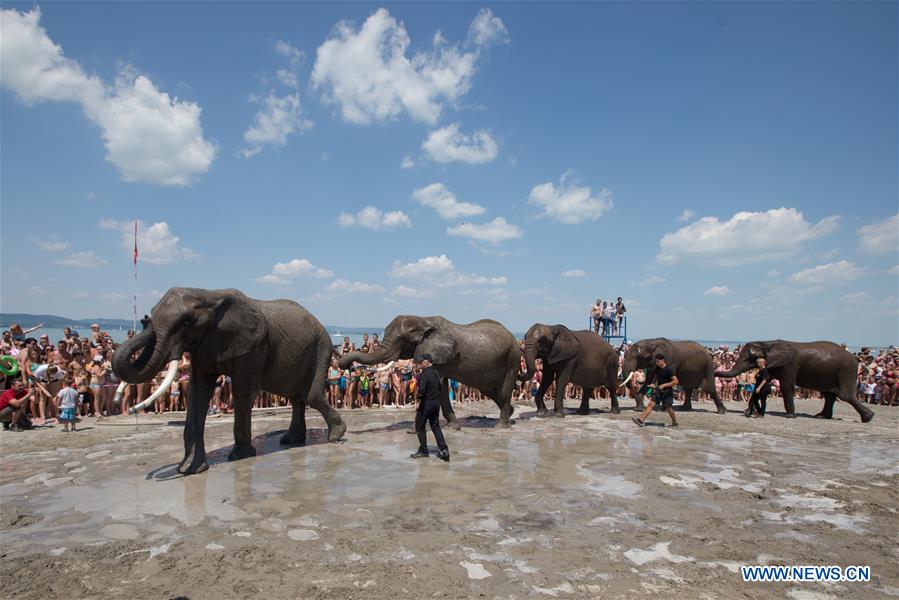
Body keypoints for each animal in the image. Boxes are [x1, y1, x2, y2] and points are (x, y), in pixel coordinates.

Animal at [111, 288, 348, 476]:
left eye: (186, 322)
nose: (144, 319)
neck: (208, 295)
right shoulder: (204, 347)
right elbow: (198, 392)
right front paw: (189, 469)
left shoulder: (254, 347)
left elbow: (243, 391)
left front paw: (239, 456)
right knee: (295, 396)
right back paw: (291, 440)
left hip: (321, 347)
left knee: (310, 395)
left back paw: (336, 435)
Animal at [338, 314, 520, 426]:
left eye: (403, 340)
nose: (346, 366)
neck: (423, 320)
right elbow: (441, 387)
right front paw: (452, 427)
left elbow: (436, 385)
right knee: (490, 390)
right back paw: (510, 414)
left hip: (512, 357)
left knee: (504, 390)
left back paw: (501, 426)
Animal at [712, 342, 876, 422]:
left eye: (751, 358)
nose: (714, 371)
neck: (768, 343)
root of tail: (855, 360)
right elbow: (763, 385)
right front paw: (748, 412)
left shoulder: (789, 365)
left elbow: (785, 385)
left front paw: (789, 416)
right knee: (829, 395)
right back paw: (822, 416)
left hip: (845, 371)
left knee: (844, 395)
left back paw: (868, 418)